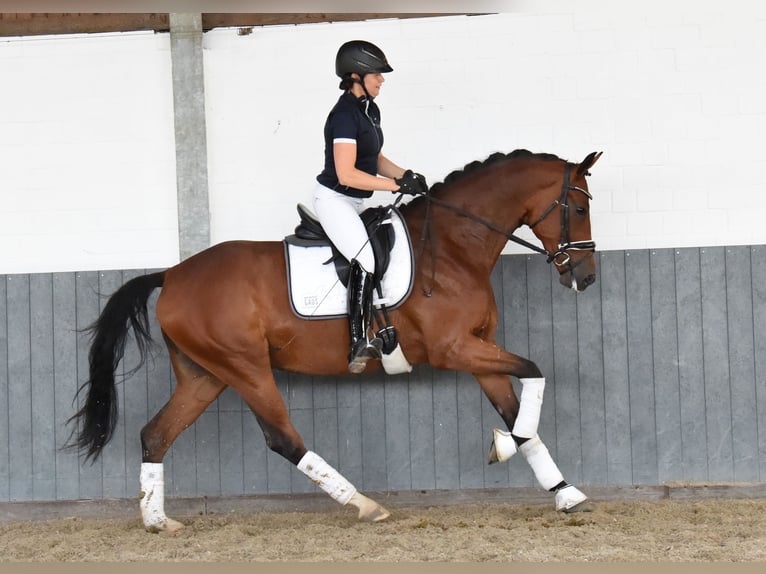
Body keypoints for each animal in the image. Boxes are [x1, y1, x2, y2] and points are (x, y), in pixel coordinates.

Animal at [67, 150, 608, 536]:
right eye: (580, 207)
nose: (585, 277)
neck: (453, 248)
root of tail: (173, 274)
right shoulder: (453, 349)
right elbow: (535, 372)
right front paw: (505, 447)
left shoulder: (479, 349)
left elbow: (519, 409)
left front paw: (562, 490)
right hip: (246, 369)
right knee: (283, 440)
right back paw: (365, 505)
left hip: (205, 375)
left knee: (155, 435)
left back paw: (159, 522)